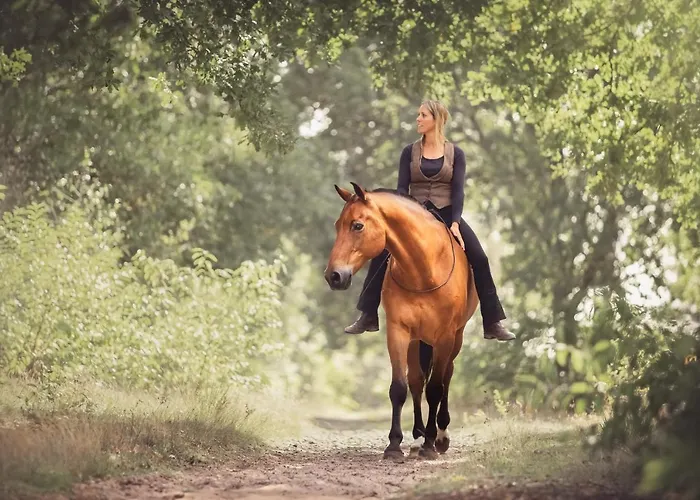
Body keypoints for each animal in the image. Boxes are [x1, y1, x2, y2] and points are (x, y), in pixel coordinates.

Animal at [324, 182, 479, 459]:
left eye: (357, 225)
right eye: (337, 225)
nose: (334, 276)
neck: (424, 270)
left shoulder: (445, 336)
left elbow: (436, 388)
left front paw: (430, 444)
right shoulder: (398, 331)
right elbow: (399, 387)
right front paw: (395, 444)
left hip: (456, 338)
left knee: (446, 376)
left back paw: (440, 437)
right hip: (417, 340)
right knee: (416, 380)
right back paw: (418, 436)